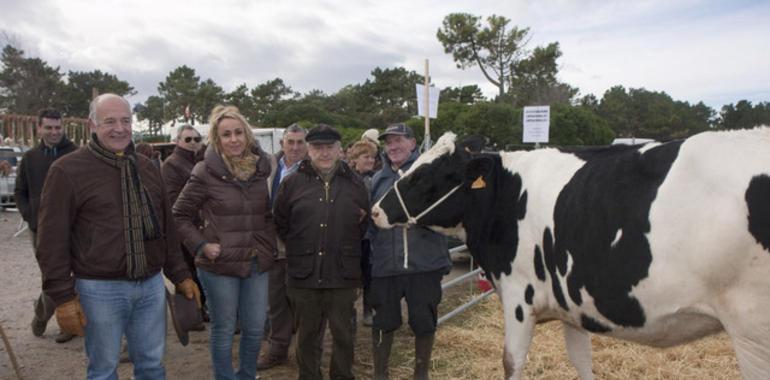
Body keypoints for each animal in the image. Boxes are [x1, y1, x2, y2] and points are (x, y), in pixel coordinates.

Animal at [370, 129, 768, 378]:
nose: (375, 211)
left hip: (753, 332)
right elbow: (581, 362)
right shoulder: (572, 306)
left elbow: (511, 362)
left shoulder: (519, 297)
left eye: (421, 177)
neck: (505, 194)